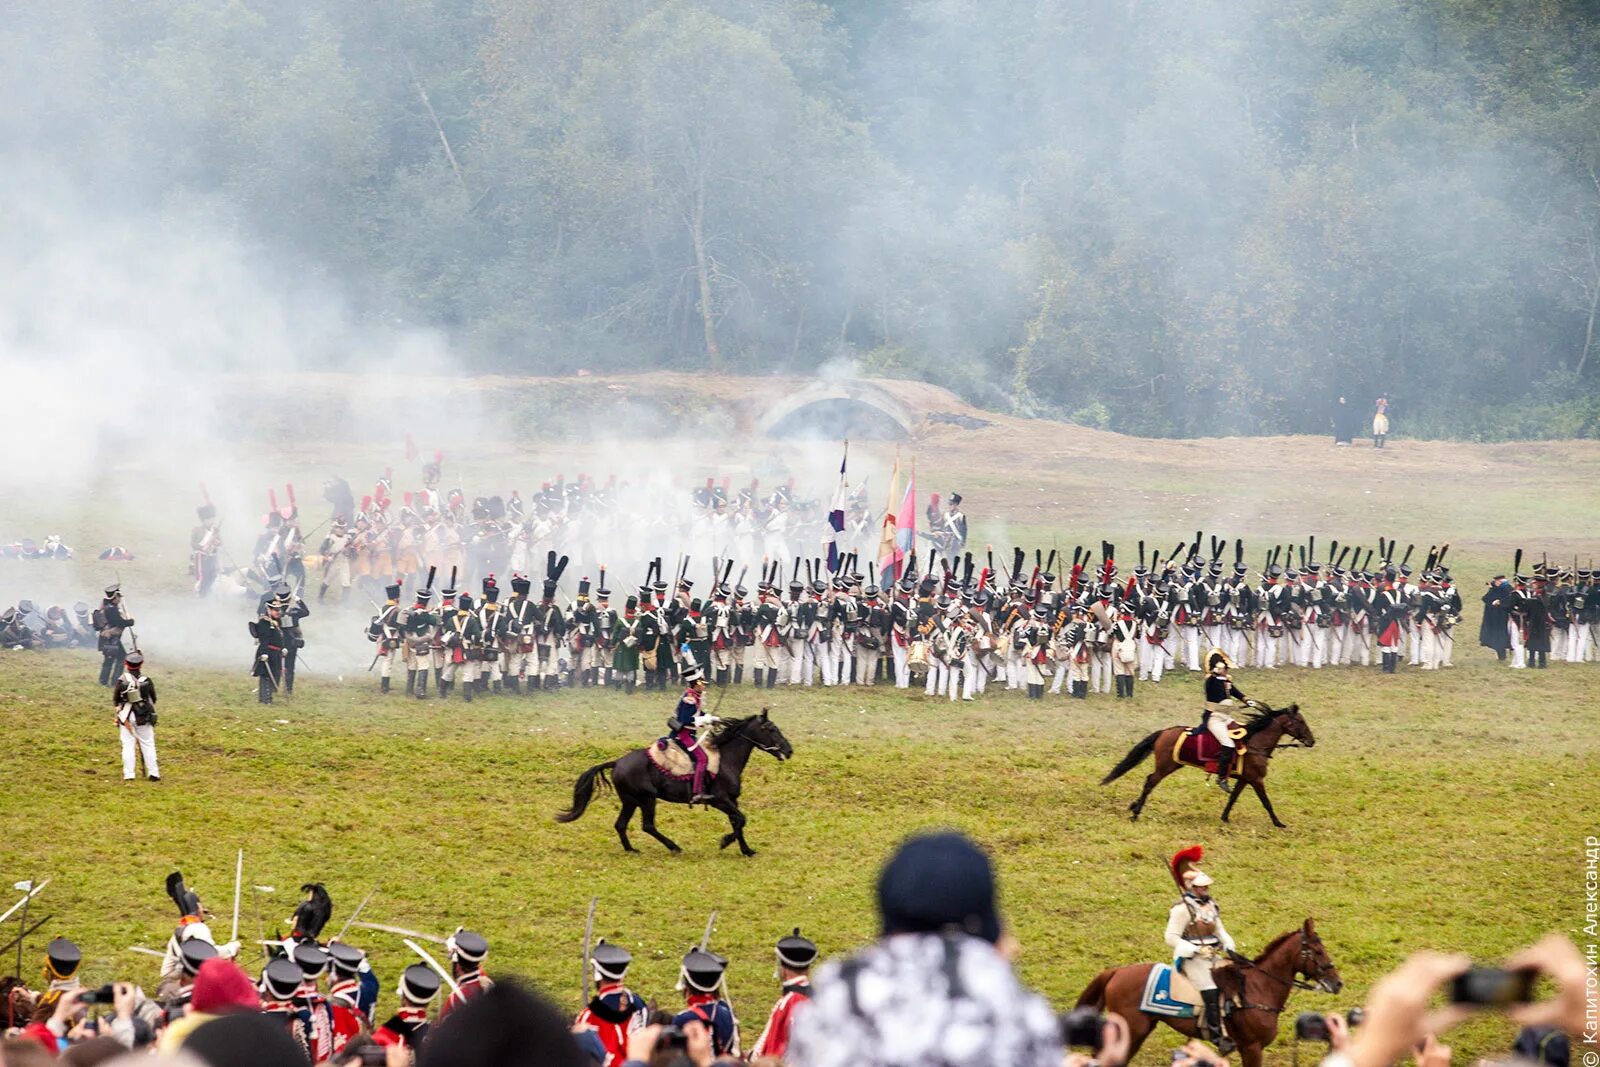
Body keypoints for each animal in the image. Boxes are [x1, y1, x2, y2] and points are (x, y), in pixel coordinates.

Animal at [556, 713, 793, 857]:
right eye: (771, 729)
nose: (789, 750)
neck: (725, 759)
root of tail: (618, 762)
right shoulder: (720, 801)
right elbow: (741, 819)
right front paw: (725, 841)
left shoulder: (732, 801)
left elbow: (738, 821)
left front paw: (746, 849)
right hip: (646, 799)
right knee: (647, 825)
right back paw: (674, 846)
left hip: (631, 801)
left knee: (621, 825)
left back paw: (631, 849)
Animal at [1075, 921, 1337, 1067]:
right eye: (1316, 951)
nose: (1337, 983)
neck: (1259, 987)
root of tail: (1117, 971)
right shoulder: (1251, 1048)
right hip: (1131, 1029)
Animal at [1100, 703, 1312, 831]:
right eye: (1301, 721)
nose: (1312, 741)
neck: (1255, 742)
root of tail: (1165, 731)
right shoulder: (1256, 780)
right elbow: (1266, 802)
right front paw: (1278, 823)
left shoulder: (1245, 779)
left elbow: (1233, 798)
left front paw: (1225, 817)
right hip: (1166, 766)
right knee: (1150, 781)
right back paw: (1136, 813)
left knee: (1149, 781)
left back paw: (1134, 806)